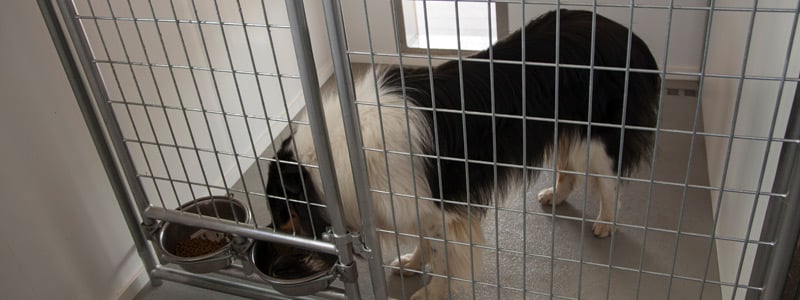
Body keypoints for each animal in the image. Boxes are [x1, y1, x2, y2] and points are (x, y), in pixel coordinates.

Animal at [266, 9, 660, 300]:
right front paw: (412, 263)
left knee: (609, 181)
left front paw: (431, 292)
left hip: (598, 136)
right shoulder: (414, 203)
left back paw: (606, 222)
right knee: (571, 168)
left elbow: (444, 257)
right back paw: (556, 195)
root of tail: (627, 35)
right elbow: (425, 242)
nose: (272, 255)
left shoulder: (444, 211)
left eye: (281, 212)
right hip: (567, 128)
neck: (339, 154)